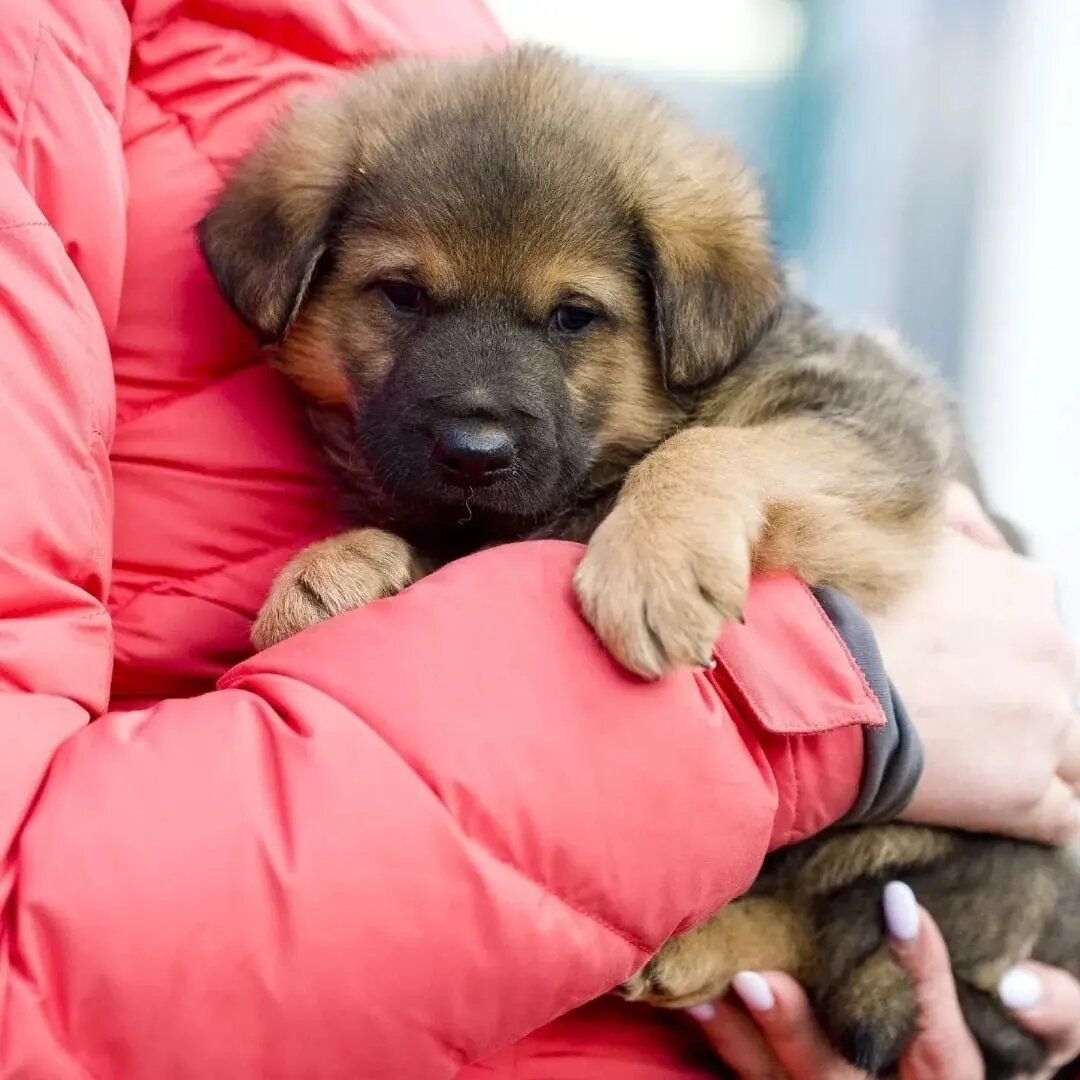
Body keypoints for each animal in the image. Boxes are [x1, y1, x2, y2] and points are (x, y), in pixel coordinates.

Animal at [200, 46, 1080, 1075]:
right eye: (403, 295)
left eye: (573, 317)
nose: (473, 450)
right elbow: (429, 540)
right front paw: (331, 570)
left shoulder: (868, 424)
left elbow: (712, 448)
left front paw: (654, 561)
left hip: (947, 853)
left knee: (844, 933)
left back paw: (704, 943)